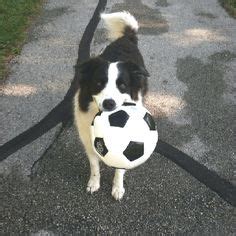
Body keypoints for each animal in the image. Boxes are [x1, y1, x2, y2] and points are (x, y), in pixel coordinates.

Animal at [73, 11, 149, 199]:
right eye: (99, 83)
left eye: (122, 85)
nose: (109, 103)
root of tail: (127, 37)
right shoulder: (88, 141)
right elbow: (94, 166)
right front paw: (94, 183)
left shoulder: (125, 148)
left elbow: (120, 169)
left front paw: (117, 187)